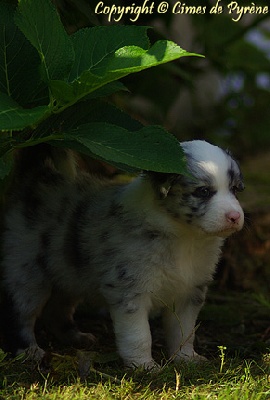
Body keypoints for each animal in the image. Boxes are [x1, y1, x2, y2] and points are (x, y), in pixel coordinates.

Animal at [0, 140, 245, 368]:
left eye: (234, 189)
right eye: (203, 191)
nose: (235, 216)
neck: (185, 237)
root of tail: (36, 177)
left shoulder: (189, 292)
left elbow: (184, 331)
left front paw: (186, 359)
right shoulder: (129, 291)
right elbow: (139, 335)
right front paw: (144, 366)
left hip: (68, 272)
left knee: (57, 310)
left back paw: (77, 337)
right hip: (26, 273)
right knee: (20, 315)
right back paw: (29, 350)